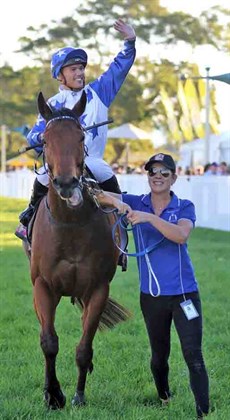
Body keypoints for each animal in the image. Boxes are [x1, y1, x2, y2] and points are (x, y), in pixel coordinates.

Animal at [24, 92, 131, 410]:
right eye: (45, 139)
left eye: (81, 135)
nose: (66, 182)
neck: (70, 224)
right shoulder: (42, 286)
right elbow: (48, 342)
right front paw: (52, 394)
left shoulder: (97, 288)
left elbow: (84, 346)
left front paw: (78, 395)